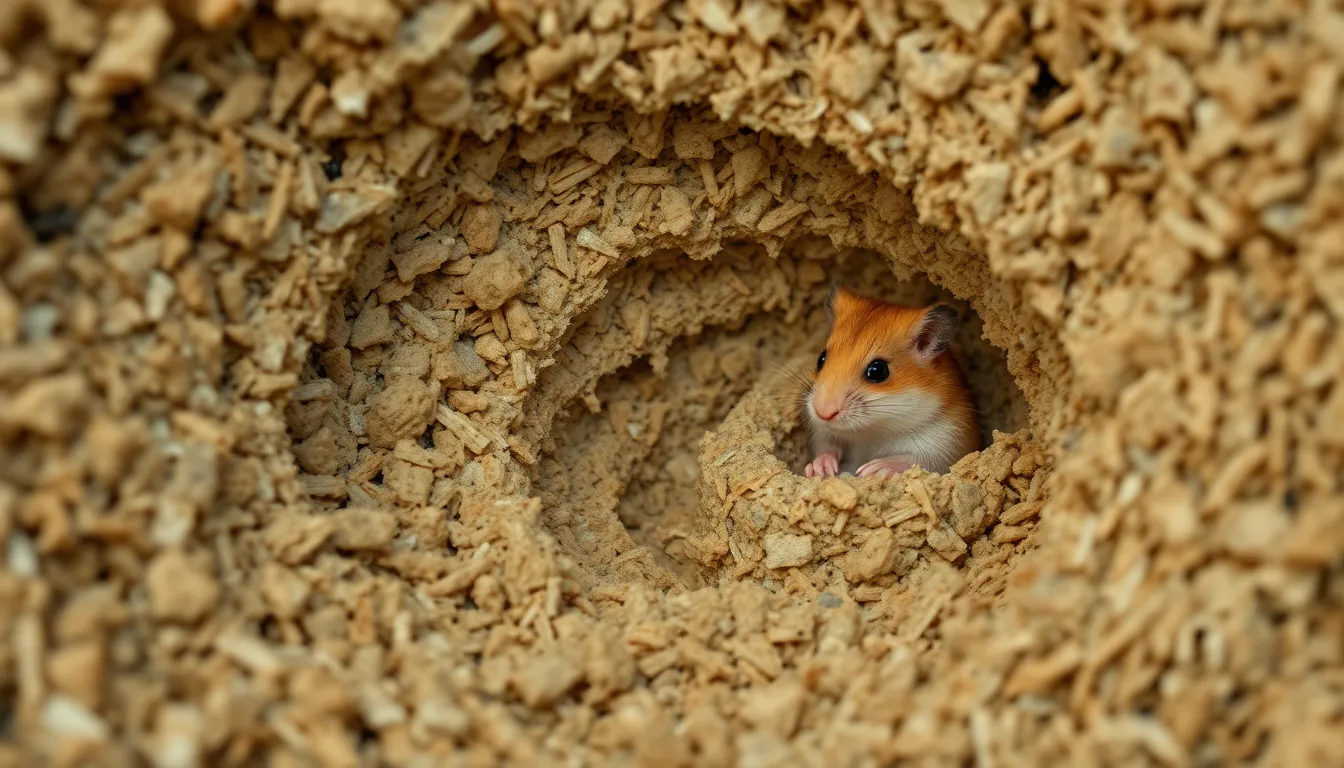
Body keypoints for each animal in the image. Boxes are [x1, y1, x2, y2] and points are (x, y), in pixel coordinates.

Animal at [803, 287, 980, 479]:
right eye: (821, 358)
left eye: (877, 370)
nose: (823, 413)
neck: (872, 430)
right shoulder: (822, 431)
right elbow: (825, 445)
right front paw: (819, 468)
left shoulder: (946, 444)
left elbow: (914, 460)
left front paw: (874, 469)